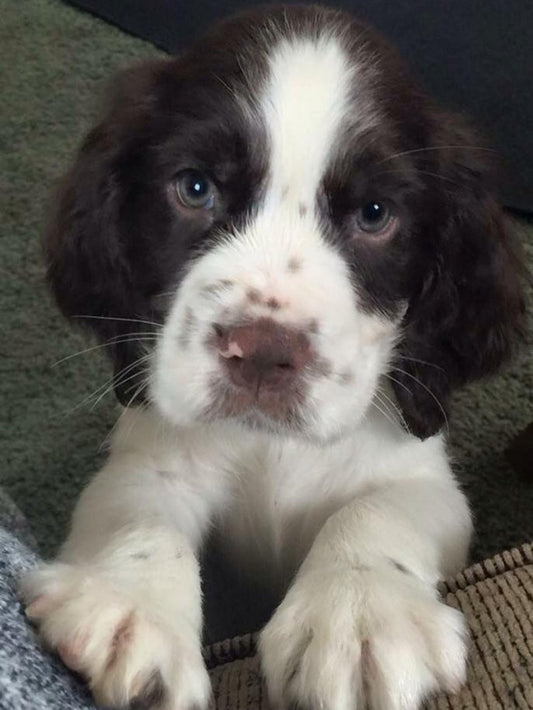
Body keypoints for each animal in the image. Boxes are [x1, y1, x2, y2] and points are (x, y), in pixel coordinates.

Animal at [21, 5, 524, 710]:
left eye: (375, 214)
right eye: (195, 187)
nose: (262, 353)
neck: (271, 448)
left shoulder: (421, 473)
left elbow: (379, 509)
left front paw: (359, 615)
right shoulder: (151, 450)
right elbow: (140, 512)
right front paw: (130, 605)